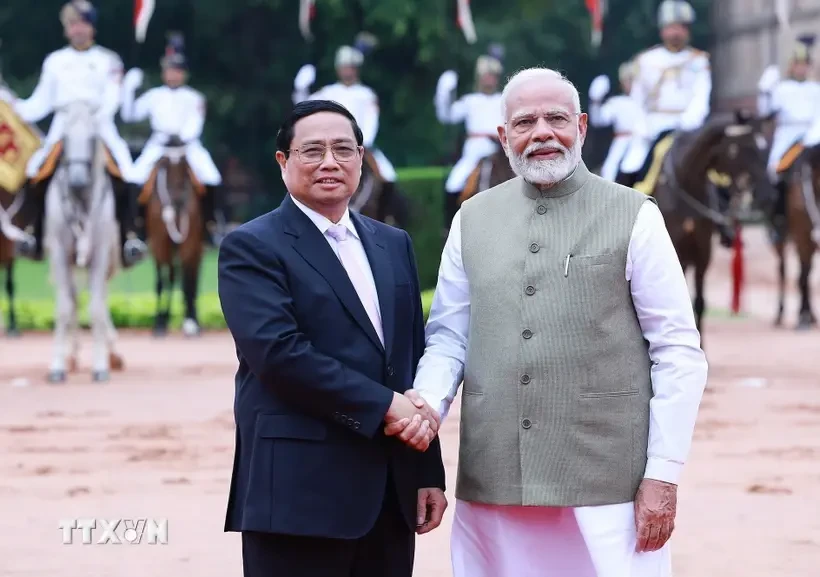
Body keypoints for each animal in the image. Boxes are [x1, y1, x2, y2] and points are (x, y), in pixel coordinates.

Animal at [44, 102, 123, 382]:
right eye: (65, 138)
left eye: (92, 138)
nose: (77, 181)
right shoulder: (59, 253)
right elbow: (64, 307)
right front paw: (58, 365)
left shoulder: (99, 254)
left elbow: (97, 308)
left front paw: (100, 366)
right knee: (73, 299)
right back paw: (72, 355)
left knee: (99, 300)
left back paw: (112, 352)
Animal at [141, 138, 207, 338]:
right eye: (163, 163)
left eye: (185, 164)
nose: (177, 203)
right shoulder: (159, 243)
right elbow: (162, 282)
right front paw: (159, 323)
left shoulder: (189, 243)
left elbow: (186, 281)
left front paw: (190, 323)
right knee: (171, 276)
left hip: (197, 248)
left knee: (192, 278)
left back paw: (193, 318)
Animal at [648, 113, 776, 336]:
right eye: (747, 148)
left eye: (764, 148)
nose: (768, 196)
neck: (686, 182)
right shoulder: (676, 251)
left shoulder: (703, 253)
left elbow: (699, 303)